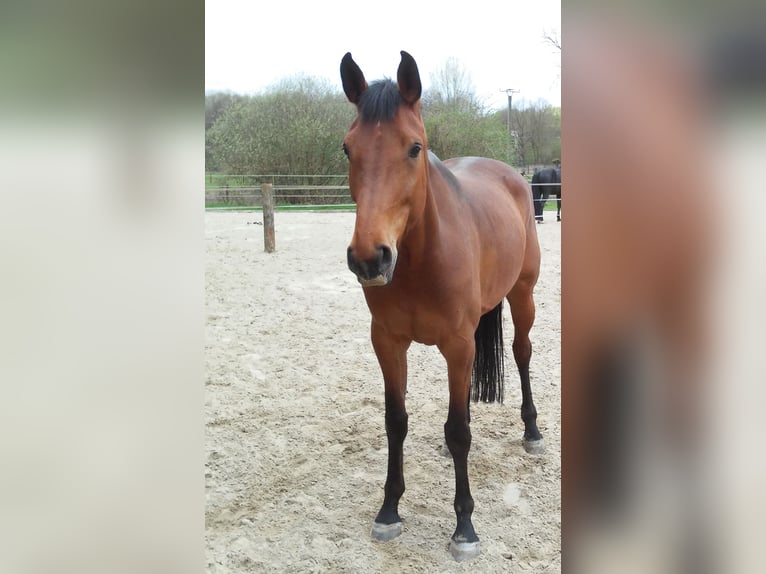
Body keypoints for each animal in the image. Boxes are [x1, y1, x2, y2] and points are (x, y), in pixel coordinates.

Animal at [340, 51, 544, 561]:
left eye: (415, 148)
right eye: (347, 149)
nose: (370, 257)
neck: (420, 259)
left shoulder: (456, 343)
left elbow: (458, 431)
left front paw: (464, 527)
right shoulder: (388, 343)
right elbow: (396, 421)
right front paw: (389, 511)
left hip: (523, 296)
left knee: (522, 353)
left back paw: (532, 433)